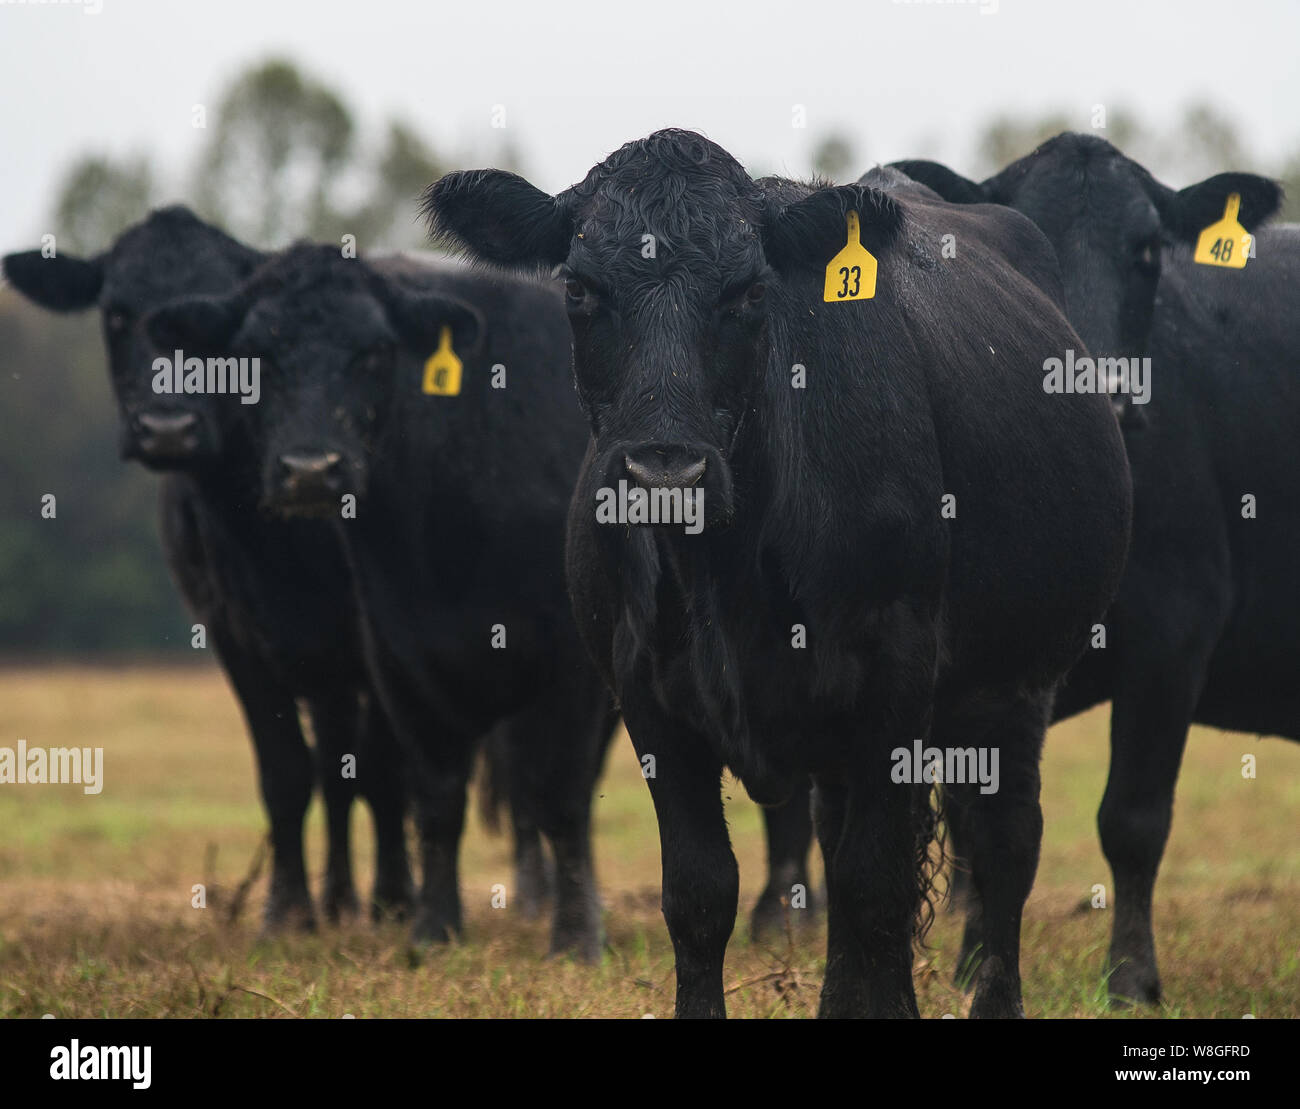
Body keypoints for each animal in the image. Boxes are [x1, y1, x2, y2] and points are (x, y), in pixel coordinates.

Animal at [2, 208, 413, 930]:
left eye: (212, 327)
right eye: (117, 315)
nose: (169, 428)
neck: (281, 543)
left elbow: (384, 772)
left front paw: (393, 904)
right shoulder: (235, 636)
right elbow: (287, 772)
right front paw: (288, 911)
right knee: (334, 770)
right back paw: (336, 900)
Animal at [144, 245, 618, 960]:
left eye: (373, 351)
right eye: (255, 354)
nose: (310, 469)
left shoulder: (572, 663)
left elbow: (560, 791)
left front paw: (576, 938)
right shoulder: (398, 656)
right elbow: (434, 796)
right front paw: (434, 928)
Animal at [423, 129, 1133, 1017]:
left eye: (749, 291)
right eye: (580, 289)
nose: (666, 471)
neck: (723, 571)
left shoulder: (897, 675)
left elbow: (875, 885)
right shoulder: (646, 696)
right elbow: (701, 892)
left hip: (1016, 683)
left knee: (1006, 847)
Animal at [889, 133, 1291, 1004]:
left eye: (1146, 252)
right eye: (1028, 244)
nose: (1094, 394)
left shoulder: (1175, 630)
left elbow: (1131, 818)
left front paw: (1133, 976)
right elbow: (976, 819)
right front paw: (974, 964)